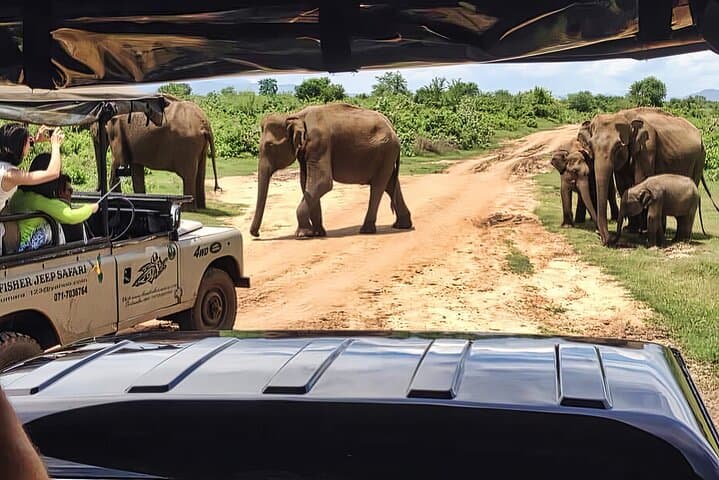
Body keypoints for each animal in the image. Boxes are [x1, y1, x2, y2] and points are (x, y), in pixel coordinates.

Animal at [249, 103, 413, 238]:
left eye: (269, 146)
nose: (256, 234)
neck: (295, 115)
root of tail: (392, 127)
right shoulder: (306, 151)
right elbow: (306, 184)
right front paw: (317, 233)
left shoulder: (319, 143)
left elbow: (322, 182)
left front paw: (302, 235)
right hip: (387, 154)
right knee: (390, 184)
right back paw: (402, 226)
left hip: (386, 151)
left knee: (378, 186)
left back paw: (366, 230)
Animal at [577, 107, 705, 245]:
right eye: (590, 146)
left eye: (618, 147)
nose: (604, 238)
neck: (625, 117)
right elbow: (623, 186)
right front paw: (630, 230)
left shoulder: (647, 148)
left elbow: (640, 180)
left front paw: (642, 233)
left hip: (699, 159)